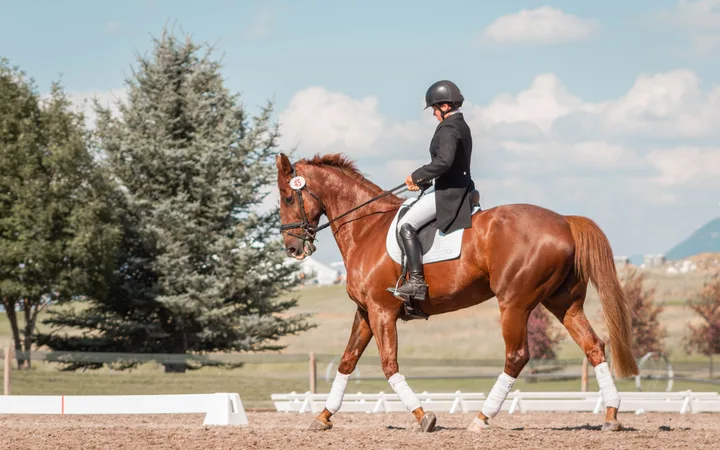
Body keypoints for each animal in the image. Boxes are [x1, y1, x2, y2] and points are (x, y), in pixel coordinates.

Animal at [275, 152, 638, 433]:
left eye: (288, 197)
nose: (292, 248)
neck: (366, 228)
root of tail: (564, 221)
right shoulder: (366, 312)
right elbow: (347, 361)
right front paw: (323, 417)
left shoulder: (381, 311)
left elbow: (389, 365)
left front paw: (424, 417)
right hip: (564, 303)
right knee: (593, 346)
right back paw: (611, 415)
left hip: (514, 303)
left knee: (517, 356)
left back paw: (481, 419)